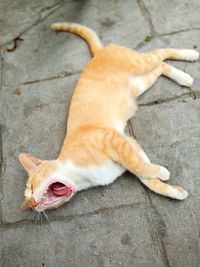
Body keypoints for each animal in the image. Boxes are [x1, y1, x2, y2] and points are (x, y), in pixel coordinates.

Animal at [18, 22, 198, 211]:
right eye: (30, 205)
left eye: (31, 187)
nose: (33, 203)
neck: (80, 177)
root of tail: (98, 53)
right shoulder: (130, 145)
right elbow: (145, 175)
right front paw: (174, 191)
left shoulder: (115, 140)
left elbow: (141, 166)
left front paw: (161, 172)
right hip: (138, 85)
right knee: (161, 66)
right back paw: (183, 77)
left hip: (139, 63)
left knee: (159, 53)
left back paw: (190, 55)